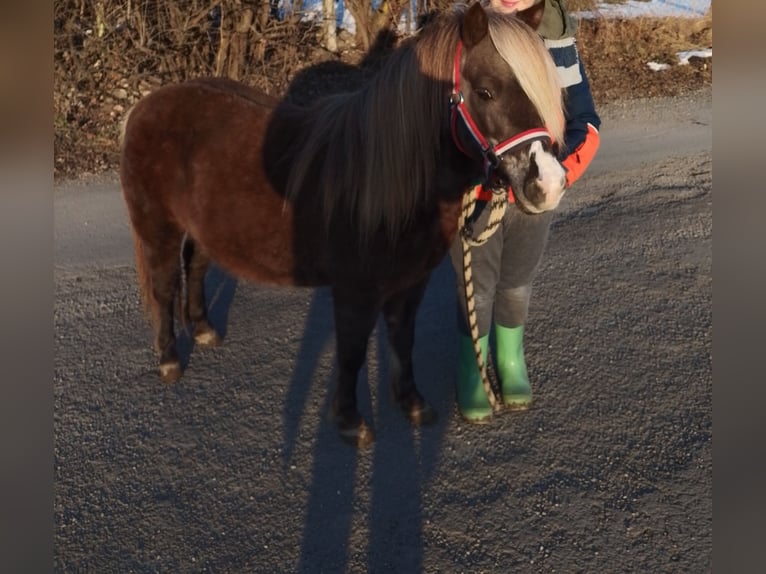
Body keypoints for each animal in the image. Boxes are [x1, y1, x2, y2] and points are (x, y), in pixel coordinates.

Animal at [119, 2, 566, 447]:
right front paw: (351, 420)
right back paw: (170, 360)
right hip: (157, 228)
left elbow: (402, 337)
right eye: (486, 91)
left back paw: (204, 330)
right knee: (163, 288)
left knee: (195, 267)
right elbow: (352, 351)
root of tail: (143, 107)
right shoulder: (355, 291)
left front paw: (412, 402)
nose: (548, 184)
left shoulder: (410, 282)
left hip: (204, 229)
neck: (387, 179)